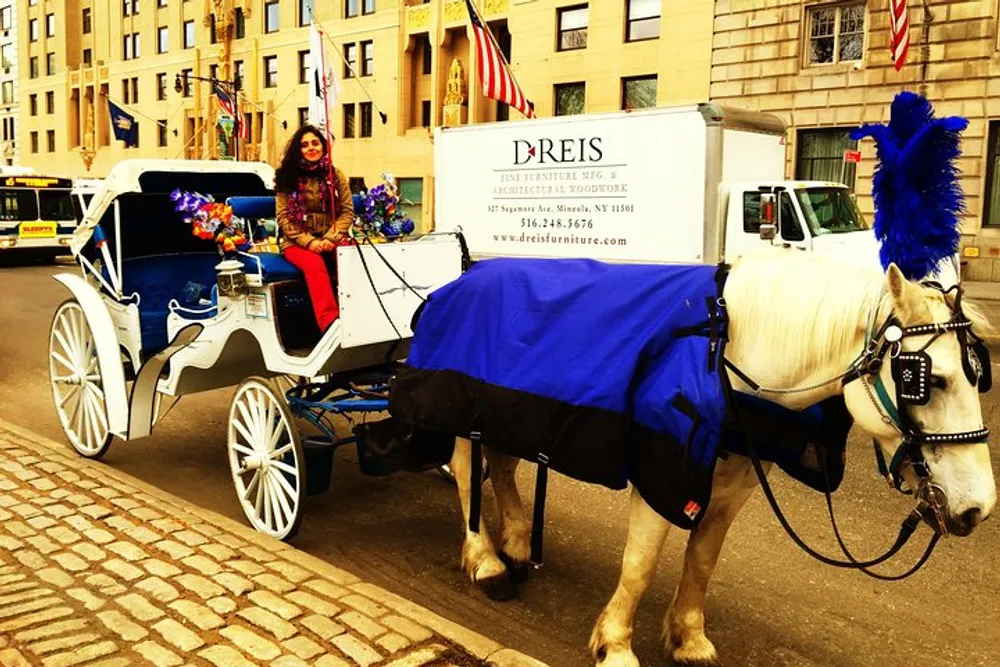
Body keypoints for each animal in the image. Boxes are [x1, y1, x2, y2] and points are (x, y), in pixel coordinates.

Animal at [442, 252, 996, 667]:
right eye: (926, 379)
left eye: (977, 376)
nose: (978, 507)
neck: (727, 351)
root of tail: (468, 273)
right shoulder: (662, 477)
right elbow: (640, 563)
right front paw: (615, 645)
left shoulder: (733, 487)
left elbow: (703, 561)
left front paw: (688, 637)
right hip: (468, 413)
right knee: (469, 472)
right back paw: (487, 560)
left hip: (512, 412)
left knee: (503, 467)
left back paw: (515, 543)